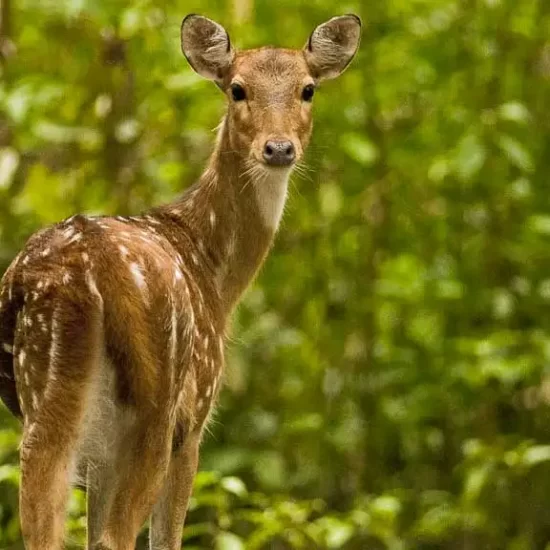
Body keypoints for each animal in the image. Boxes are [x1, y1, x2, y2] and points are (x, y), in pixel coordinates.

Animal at [0, 14, 362, 550]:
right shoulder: (194, 422)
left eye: (308, 89)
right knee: (116, 534)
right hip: (158, 403)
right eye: (237, 88)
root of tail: (88, 268)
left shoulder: (98, 456)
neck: (213, 272)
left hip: (45, 392)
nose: (278, 148)